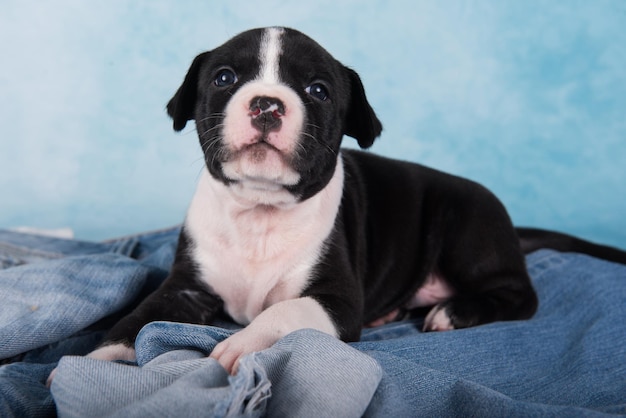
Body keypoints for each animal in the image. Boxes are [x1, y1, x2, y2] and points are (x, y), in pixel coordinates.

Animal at [52, 26, 620, 378]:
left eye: (319, 90)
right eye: (224, 78)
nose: (267, 103)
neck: (259, 213)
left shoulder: (337, 303)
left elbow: (284, 313)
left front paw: (243, 343)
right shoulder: (186, 289)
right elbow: (139, 319)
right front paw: (96, 360)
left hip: (467, 225)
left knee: (521, 295)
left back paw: (454, 311)